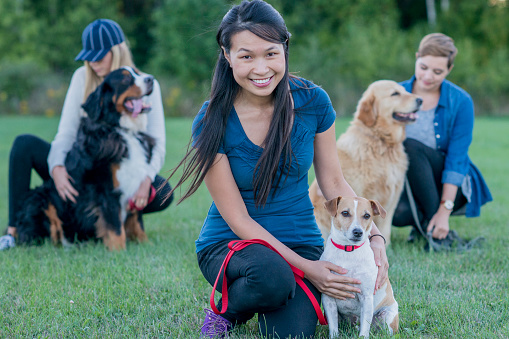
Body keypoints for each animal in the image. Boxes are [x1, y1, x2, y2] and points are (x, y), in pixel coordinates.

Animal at [16, 66, 155, 251]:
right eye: (126, 79)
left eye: (137, 72)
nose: (151, 79)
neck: (122, 130)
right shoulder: (106, 189)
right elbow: (115, 226)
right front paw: (119, 251)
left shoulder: (136, 187)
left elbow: (137, 222)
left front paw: (146, 244)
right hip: (40, 200)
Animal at [320, 195, 398, 338]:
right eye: (345, 213)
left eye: (367, 215)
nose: (358, 232)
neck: (348, 251)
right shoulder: (329, 298)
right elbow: (333, 327)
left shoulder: (366, 297)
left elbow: (365, 327)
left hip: (387, 317)